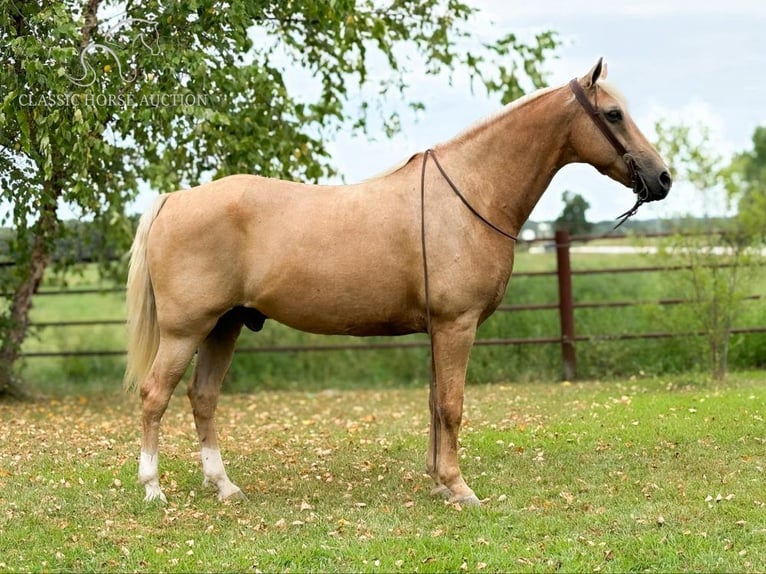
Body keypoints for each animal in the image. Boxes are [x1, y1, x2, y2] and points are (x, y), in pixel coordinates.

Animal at [124, 58, 672, 506]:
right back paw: (152, 488)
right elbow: (451, 405)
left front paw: (437, 480)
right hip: (186, 330)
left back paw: (224, 486)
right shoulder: (457, 326)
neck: (469, 194)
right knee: (154, 396)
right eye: (614, 115)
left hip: (225, 326)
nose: (663, 178)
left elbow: (434, 404)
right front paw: (458, 487)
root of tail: (173, 199)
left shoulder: (439, 330)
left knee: (203, 399)